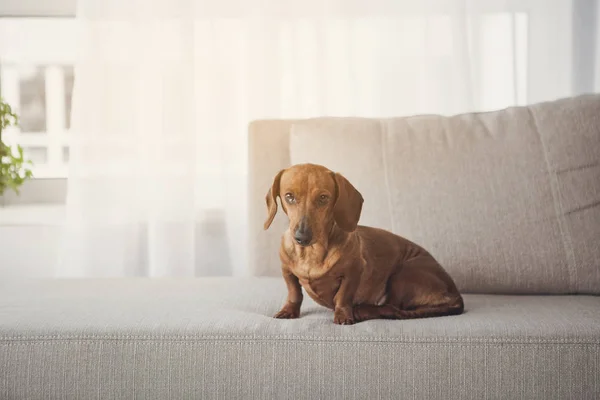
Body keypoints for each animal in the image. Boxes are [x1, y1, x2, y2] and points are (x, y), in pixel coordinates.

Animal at [264, 164, 466, 324]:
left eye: (323, 198)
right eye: (289, 196)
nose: (302, 237)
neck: (311, 254)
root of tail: (456, 296)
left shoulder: (354, 271)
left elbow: (343, 296)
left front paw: (344, 315)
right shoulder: (287, 271)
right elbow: (294, 293)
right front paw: (288, 311)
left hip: (404, 272)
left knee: (391, 308)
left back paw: (362, 311)